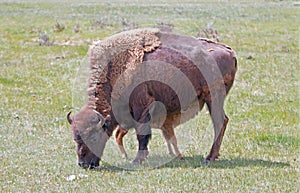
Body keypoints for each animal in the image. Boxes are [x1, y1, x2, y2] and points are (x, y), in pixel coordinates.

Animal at [67, 28, 237, 169]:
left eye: (94, 137)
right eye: (76, 138)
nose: (84, 164)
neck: (115, 71)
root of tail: (229, 51)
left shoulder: (141, 108)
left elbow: (142, 134)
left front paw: (137, 160)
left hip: (213, 98)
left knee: (219, 122)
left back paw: (209, 157)